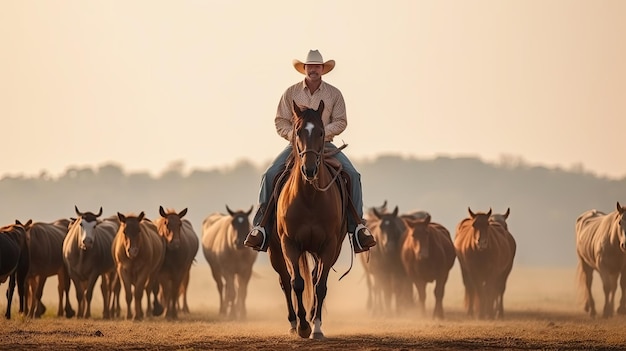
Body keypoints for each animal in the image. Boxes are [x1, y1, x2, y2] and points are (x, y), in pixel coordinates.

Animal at [266, 99, 348, 340]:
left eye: (321, 132)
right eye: (298, 131)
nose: (309, 169)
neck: (310, 197)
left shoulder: (329, 246)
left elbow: (320, 285)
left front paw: (316, 326)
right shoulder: (289, 243)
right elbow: (297, 283)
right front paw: (303, 326)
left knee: (314, 277)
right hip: (276, 251)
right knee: (285, 281)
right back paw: (294, 323)